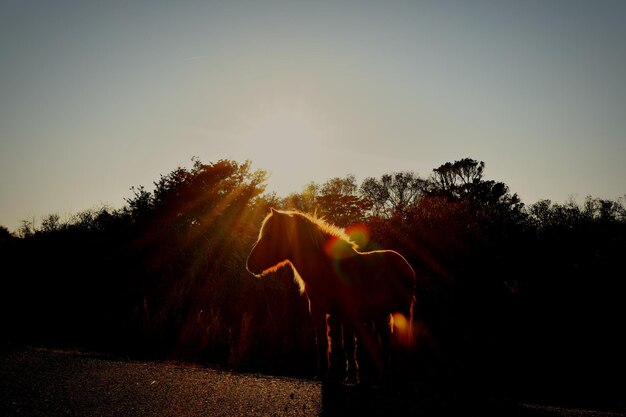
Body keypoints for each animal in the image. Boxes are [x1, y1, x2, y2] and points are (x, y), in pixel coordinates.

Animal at [244, 206, 414, 382]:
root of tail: (404, 264)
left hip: (403, 311)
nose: (250, 264)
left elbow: (348, 344)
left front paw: (351, 376)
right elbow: (325, 342)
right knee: (385, 339)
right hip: (380, 314)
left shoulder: (347, 314)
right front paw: (323, 373)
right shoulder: (319, 311)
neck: (327, 270)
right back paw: (385, 375)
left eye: (270, 235)